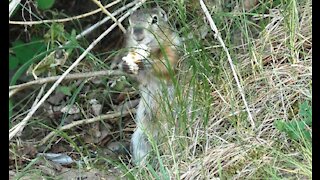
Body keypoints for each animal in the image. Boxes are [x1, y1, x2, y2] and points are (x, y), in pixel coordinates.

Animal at [119, 7, 181, 165]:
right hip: (141, 138)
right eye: (129, 22)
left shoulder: (173, 49)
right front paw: (125, 66)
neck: (153, 51)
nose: (138, 35)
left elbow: (167, 66)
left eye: (154, 19)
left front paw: (149, 63)